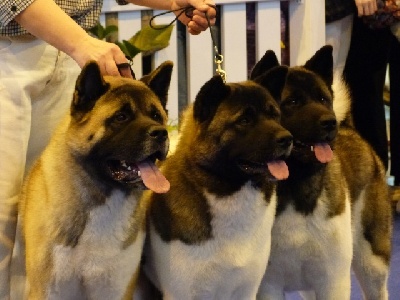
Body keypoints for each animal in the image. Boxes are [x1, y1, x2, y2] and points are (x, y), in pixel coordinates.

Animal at [252, 44, 392, 300]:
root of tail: (350, 128)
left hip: (371, 260)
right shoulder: (269, 285)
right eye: (292, 101)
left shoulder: (332, 281)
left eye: (323, 99)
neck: (296, 185)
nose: (330, 122)